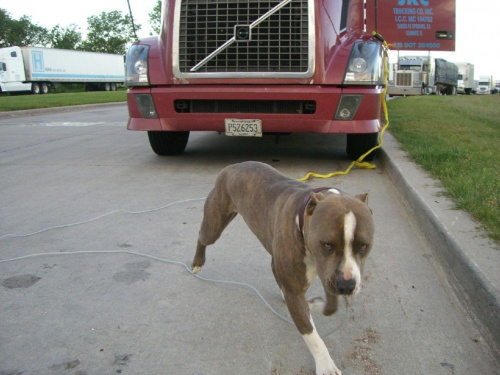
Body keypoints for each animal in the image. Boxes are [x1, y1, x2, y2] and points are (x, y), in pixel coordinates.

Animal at [191, 162, 376, 375]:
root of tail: (232, 166)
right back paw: (197, 263)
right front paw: (325, 364)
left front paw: (317, 304)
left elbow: (330, 306)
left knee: (275, 267)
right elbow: (311, 334)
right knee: (202, 236)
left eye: (364, 246)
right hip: (215, 222)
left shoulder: (328, 273)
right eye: (327, 244)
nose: (346, 286)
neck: (302, 220)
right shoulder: (301, 289)